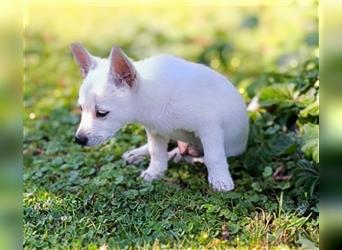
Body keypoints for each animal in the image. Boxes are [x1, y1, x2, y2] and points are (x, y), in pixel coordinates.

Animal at [71, 43, 248, 191]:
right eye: (81, 109)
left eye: (101, 113)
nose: (79, 140)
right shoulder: (155, 131)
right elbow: (156, 152)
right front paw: (155, 171)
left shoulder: (209, 128)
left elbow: (214, 156)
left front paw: (220, 179)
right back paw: (138, 154)